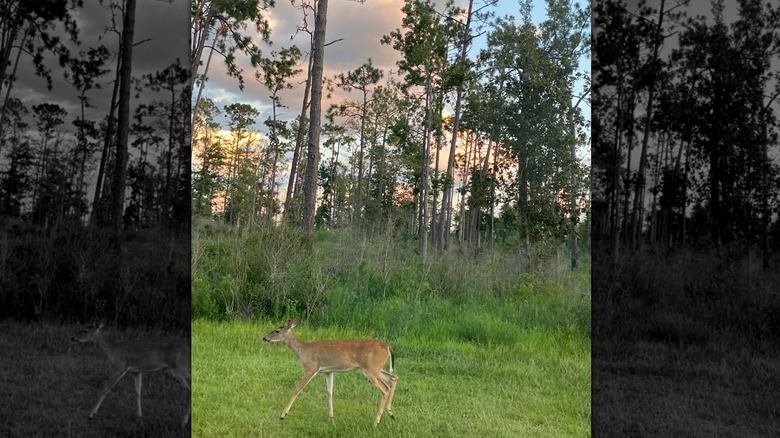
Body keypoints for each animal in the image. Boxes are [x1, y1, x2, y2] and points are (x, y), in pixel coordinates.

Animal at [262, 317, 398, 426]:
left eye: (276, 331)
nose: (264, 338)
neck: (303, 350)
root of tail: (388, 347)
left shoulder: (311, 368)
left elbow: (297, 389)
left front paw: (282, 415)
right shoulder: (328, 371)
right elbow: (329, 392)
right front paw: (331, 416)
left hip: (371, 369)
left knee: (385, 388)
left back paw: (376, 421)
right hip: (376, 368)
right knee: (393, 377)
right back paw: (390, 413)